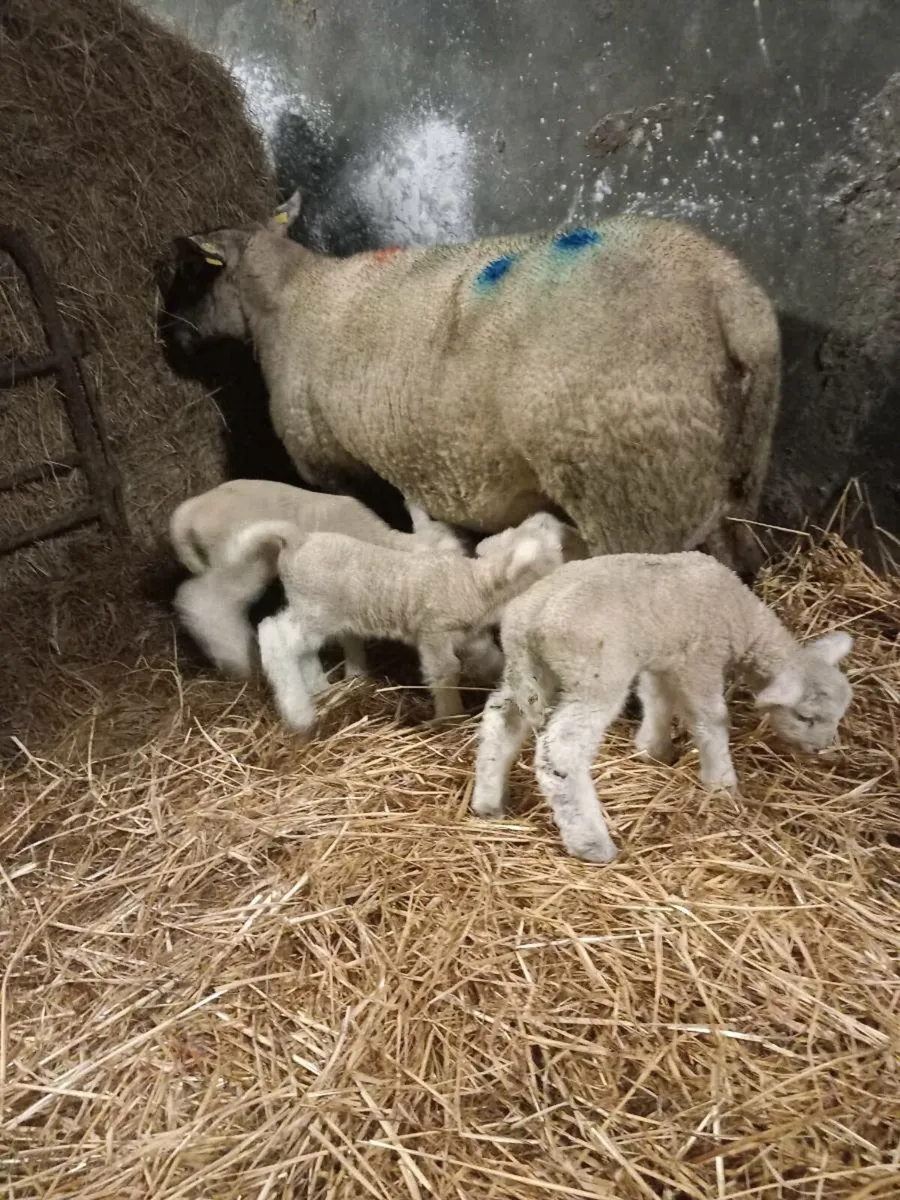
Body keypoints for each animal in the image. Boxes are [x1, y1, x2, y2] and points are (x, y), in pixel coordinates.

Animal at [167, 190, 780, 578]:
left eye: (194, 274)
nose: (171, 336)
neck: (293, 300)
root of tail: (722, 294)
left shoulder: (333, 465)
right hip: (734, 474)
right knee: (740, 564)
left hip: (629, 490)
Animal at [168, 477, 489, 683]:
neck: (376, 539)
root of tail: (190, 511)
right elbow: (351, 634)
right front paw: (357, 675)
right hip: (241, 562)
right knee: (204, 601)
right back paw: (237, 660)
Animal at [223, 511, 571, 732]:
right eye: (548, 561)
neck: (471, 584)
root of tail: (298, 539)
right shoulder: (433, 630)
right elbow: (444, 671)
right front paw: (450, 716)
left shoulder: (468, 636)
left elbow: (489, 659)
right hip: (316, 609)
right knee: (274, 634)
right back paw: (299, 712)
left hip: (309, 611)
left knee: (298, 646)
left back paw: (319, 688)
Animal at [471, 551, 854, 864]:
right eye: (805, 717)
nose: (822, 749)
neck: (743, 620)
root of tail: (527, 622)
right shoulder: (701, 659)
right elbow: (712, 720)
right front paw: (722, 784)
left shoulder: (665, 657)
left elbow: (656, 698)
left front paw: (653, 750)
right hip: (594, 676)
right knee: (562, 752)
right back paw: (592, 844)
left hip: (532, 674)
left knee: (501, 719)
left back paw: (489, 801)